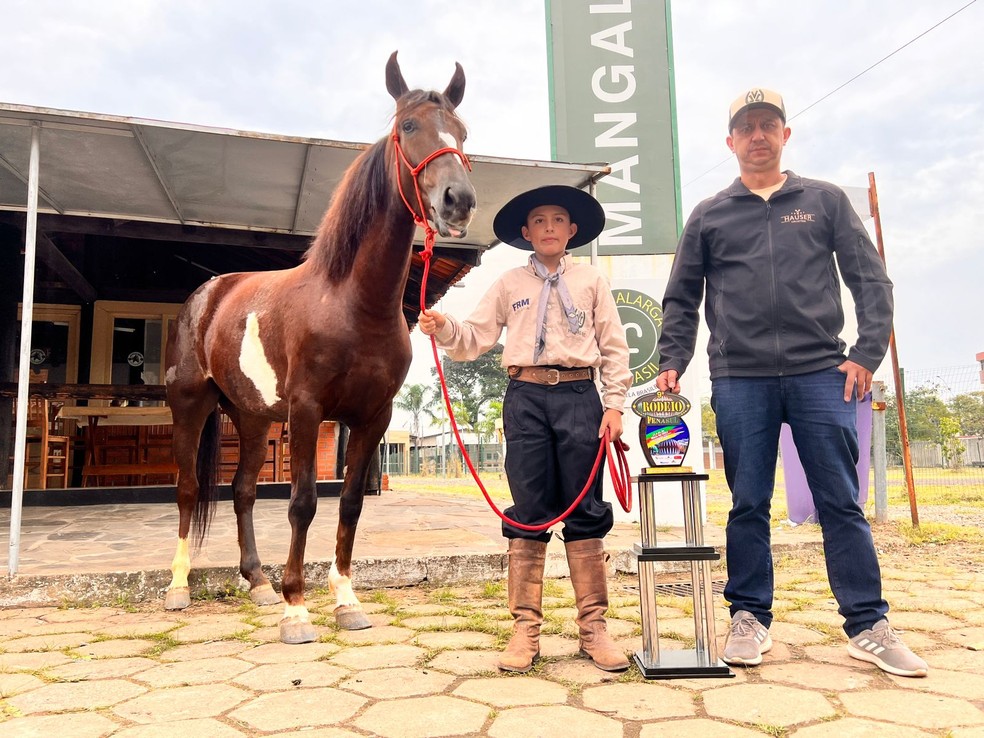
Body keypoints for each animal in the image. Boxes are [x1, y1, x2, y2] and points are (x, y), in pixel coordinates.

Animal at [162, 50, 476, 644]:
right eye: (408, 126)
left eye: (463, 132)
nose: (459, 200)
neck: (352, 303)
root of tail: (206, 294)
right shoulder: (308, 410)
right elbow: (303, 503)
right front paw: (297, 609)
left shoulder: (372, 417)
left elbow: (349, 504)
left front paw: (346, 601)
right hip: (191, 406)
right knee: (189, 489)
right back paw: (178, 587)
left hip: (253, 417)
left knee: (241, 491)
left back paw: (257, 582)